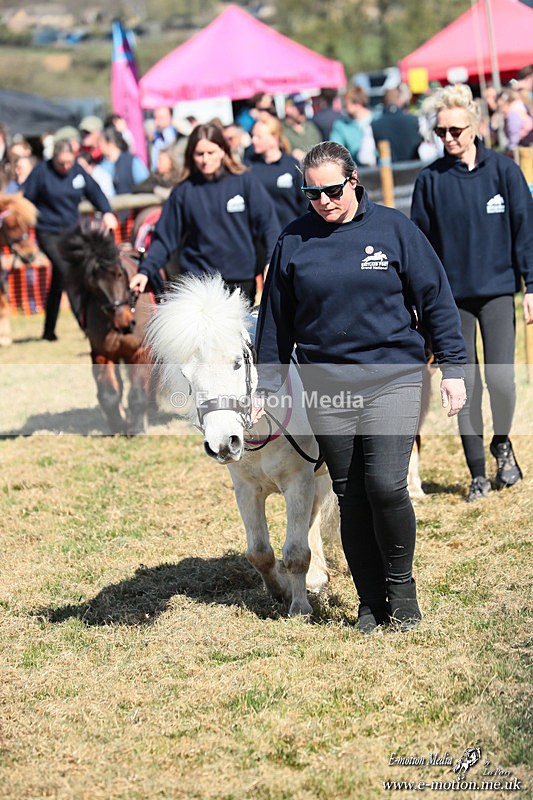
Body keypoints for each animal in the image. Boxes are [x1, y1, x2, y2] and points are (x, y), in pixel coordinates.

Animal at [59, 223, 154, 435]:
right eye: (92, 285)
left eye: (119, 273)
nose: (125, 324)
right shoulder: (103, 353)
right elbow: (109, 394)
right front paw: (118, 425)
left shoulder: (139, 351)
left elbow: (137, 393)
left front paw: (136, 428)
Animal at [145, 274, 339, 616]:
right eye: (186, 375)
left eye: (238, 363)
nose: (223, 443)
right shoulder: (247, 488)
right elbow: (259, 552)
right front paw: (280, 593)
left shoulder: (298, 482)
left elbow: (295, 552)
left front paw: (300, 608)